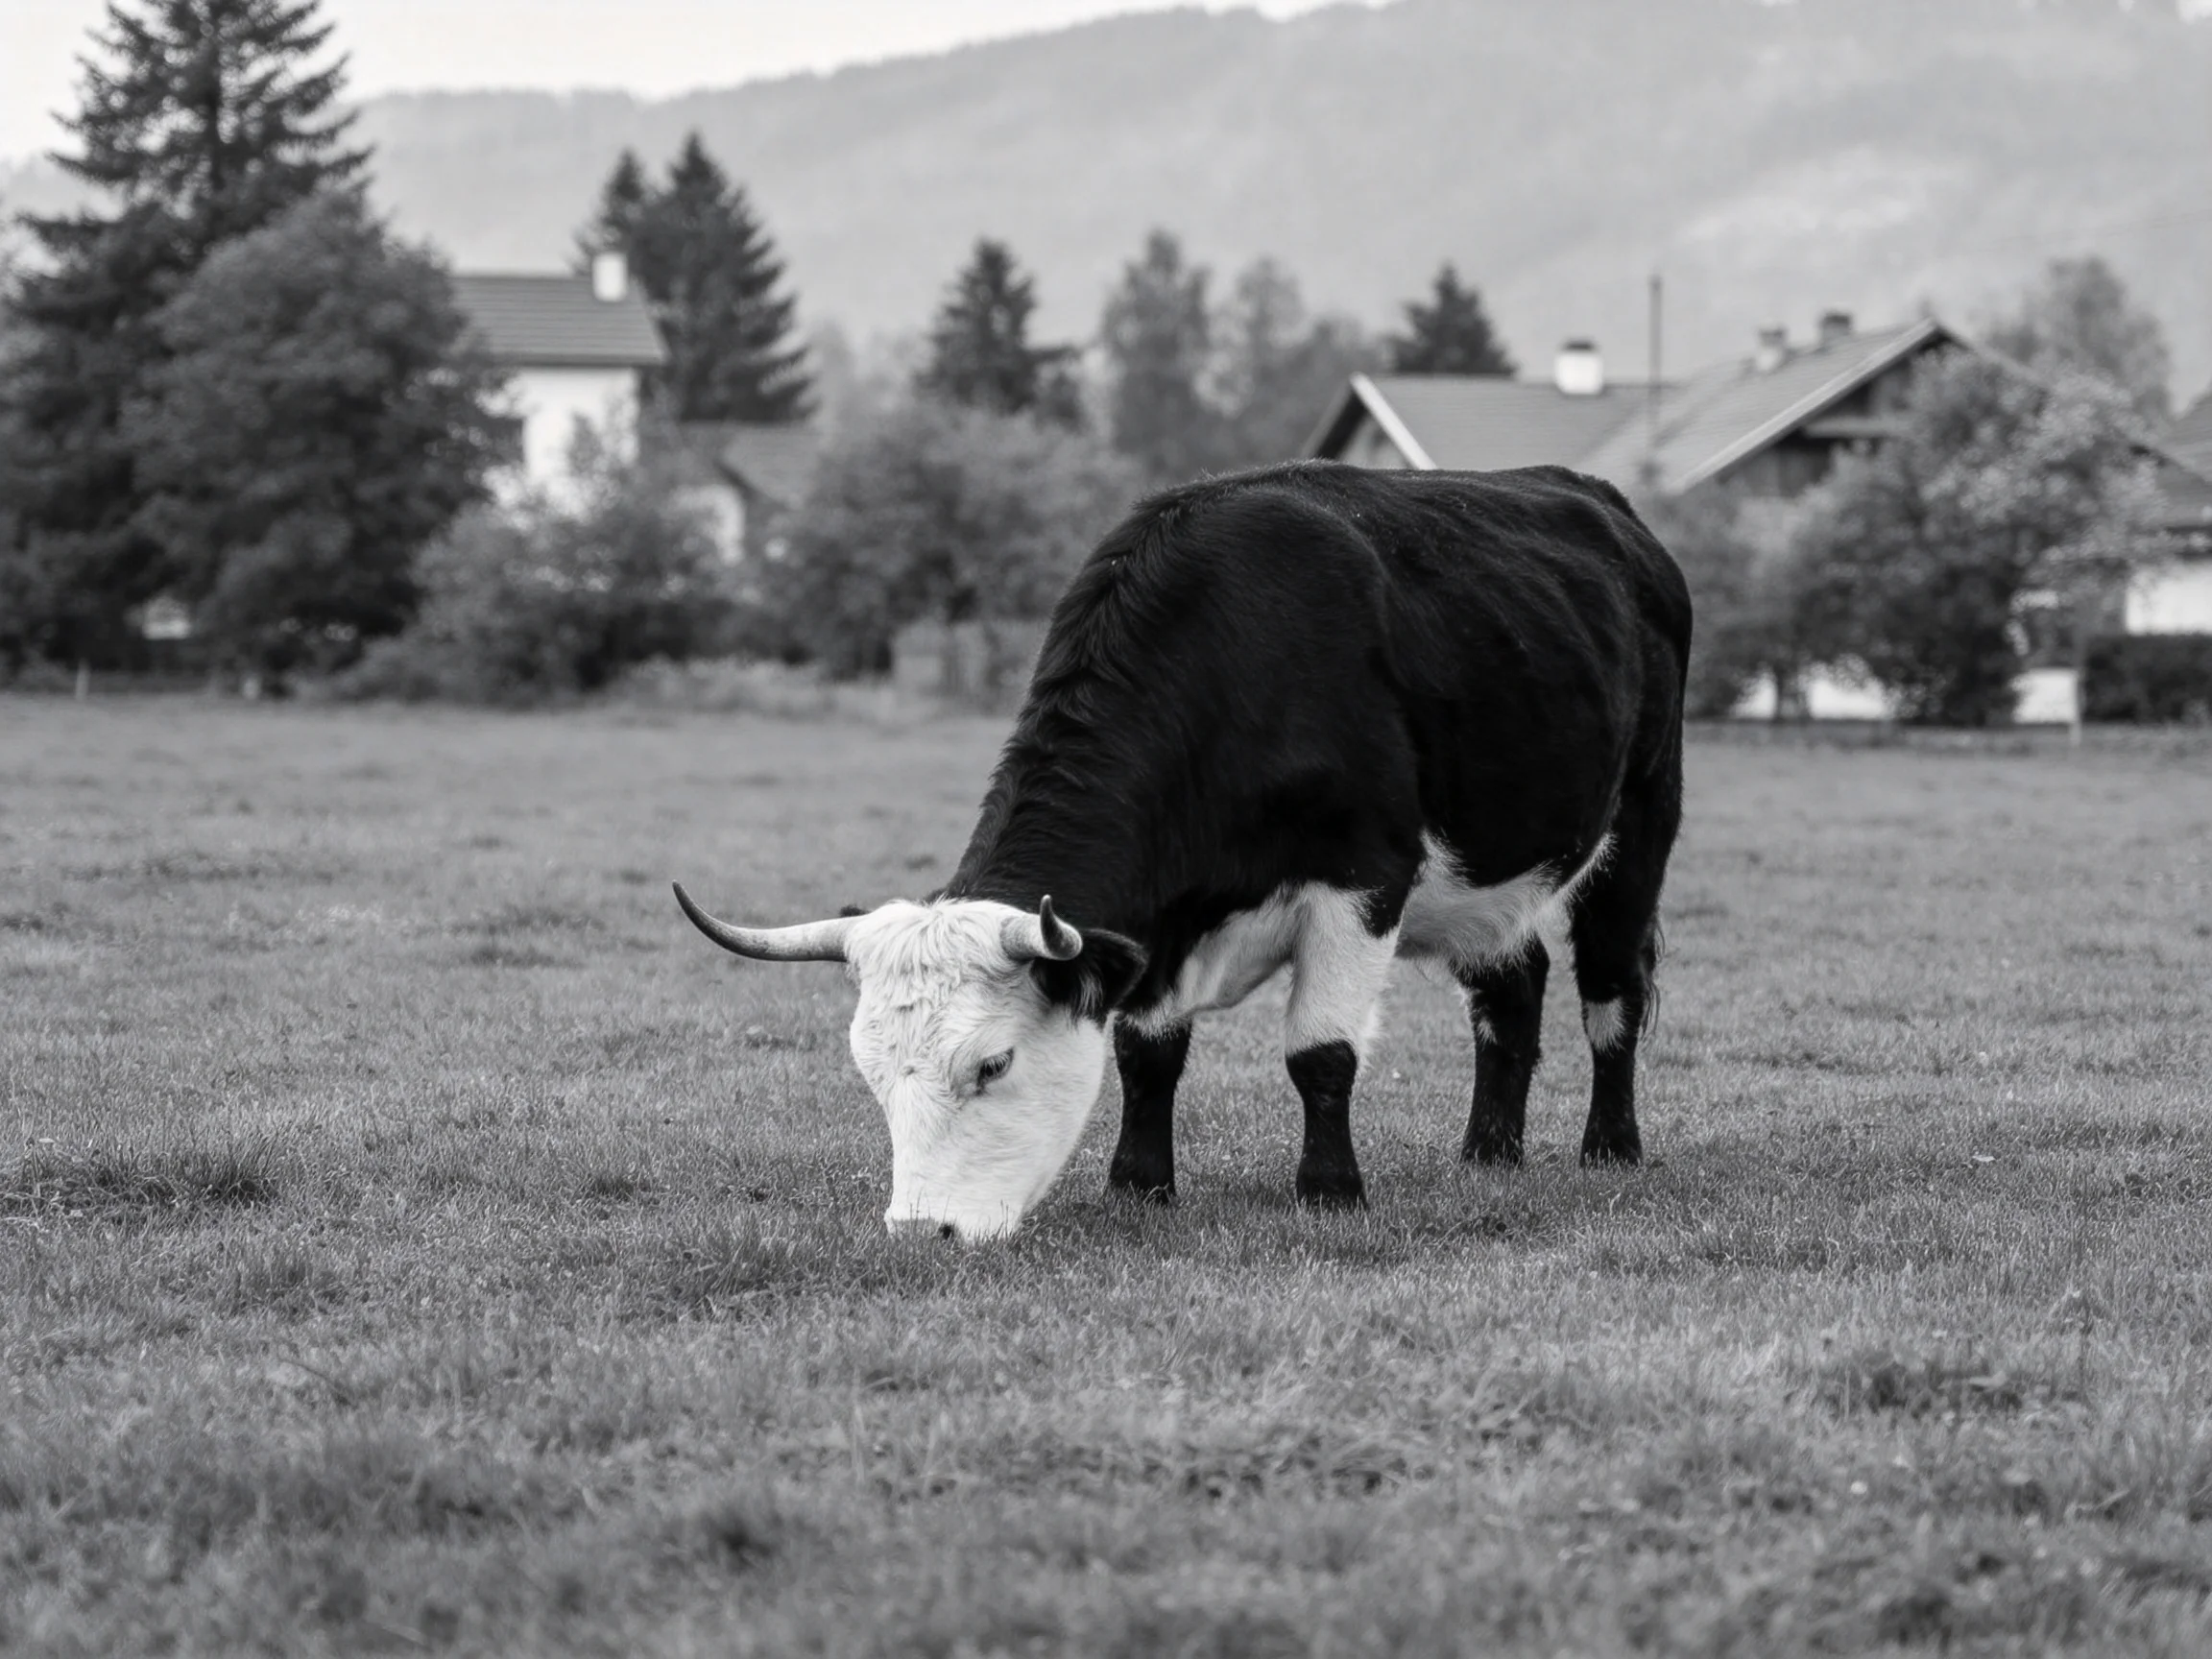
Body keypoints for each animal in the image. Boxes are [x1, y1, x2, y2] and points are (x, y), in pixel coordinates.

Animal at [676, 459, 1690, 1241]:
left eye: (993, 1064)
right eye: (872, 1075)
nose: (923, 1230)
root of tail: (1602, 504)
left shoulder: (1362, 880)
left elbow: (1321, 1053)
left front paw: (1330, 1191)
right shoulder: (1152, 929)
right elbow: (1147, 1053)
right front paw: (1140, 1184)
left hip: (1639, 829)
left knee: (1611, 992)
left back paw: (1610, 1148)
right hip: (1491, 881)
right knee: (1510, 992)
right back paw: (1488, 1152)